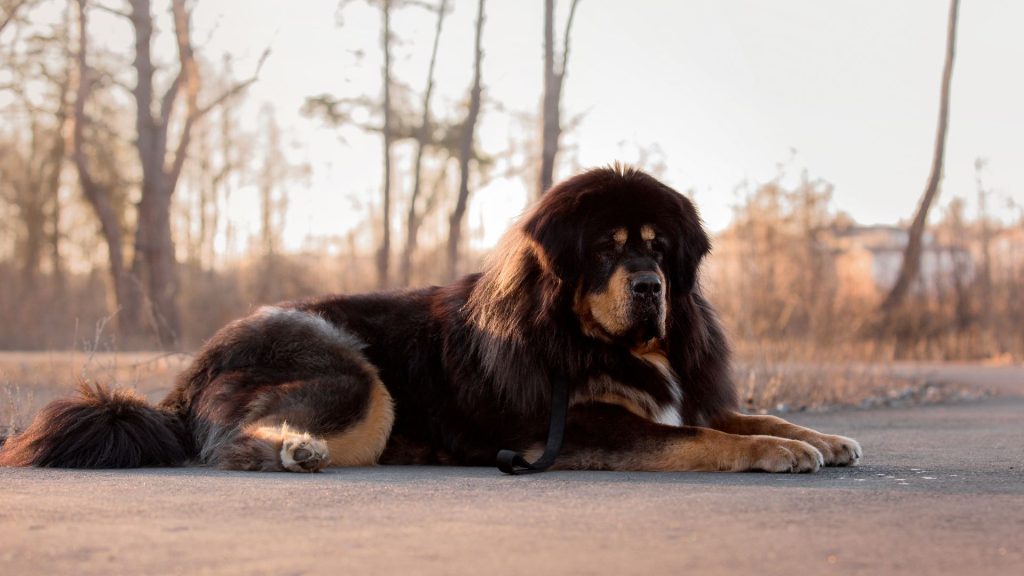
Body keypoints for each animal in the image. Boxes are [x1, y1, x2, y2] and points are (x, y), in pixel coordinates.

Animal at [4, 166, 860, 471]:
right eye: (606, 250)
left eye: (658, 248)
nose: (649, 286)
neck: (581, 334)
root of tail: (193, 368)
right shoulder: (579, 425)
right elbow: (698, 438)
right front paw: (777, 454)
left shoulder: (686, 394)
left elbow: (744, 416)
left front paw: (818, 437)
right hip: (352, 372)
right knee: (225, 443)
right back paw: (295, 451)